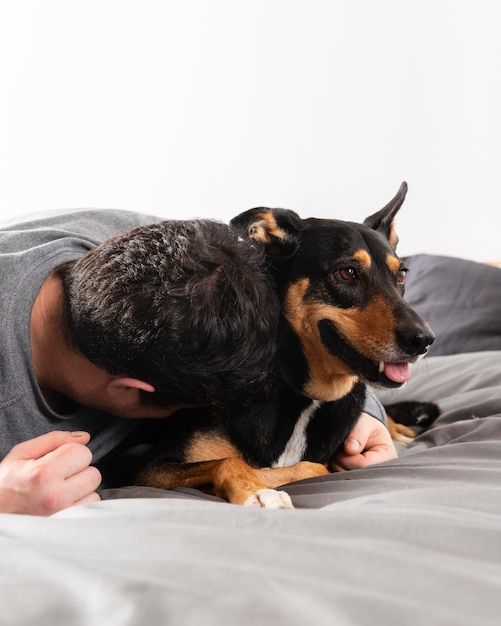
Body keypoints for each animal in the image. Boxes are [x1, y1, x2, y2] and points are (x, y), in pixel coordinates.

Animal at [136, 182, 438, 508]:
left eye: (402, 275)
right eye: (347, 272)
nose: (423, 340)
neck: (305, 395)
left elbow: (312, 466)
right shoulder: (148, 469)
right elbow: (234, 461)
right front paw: (255, 490)